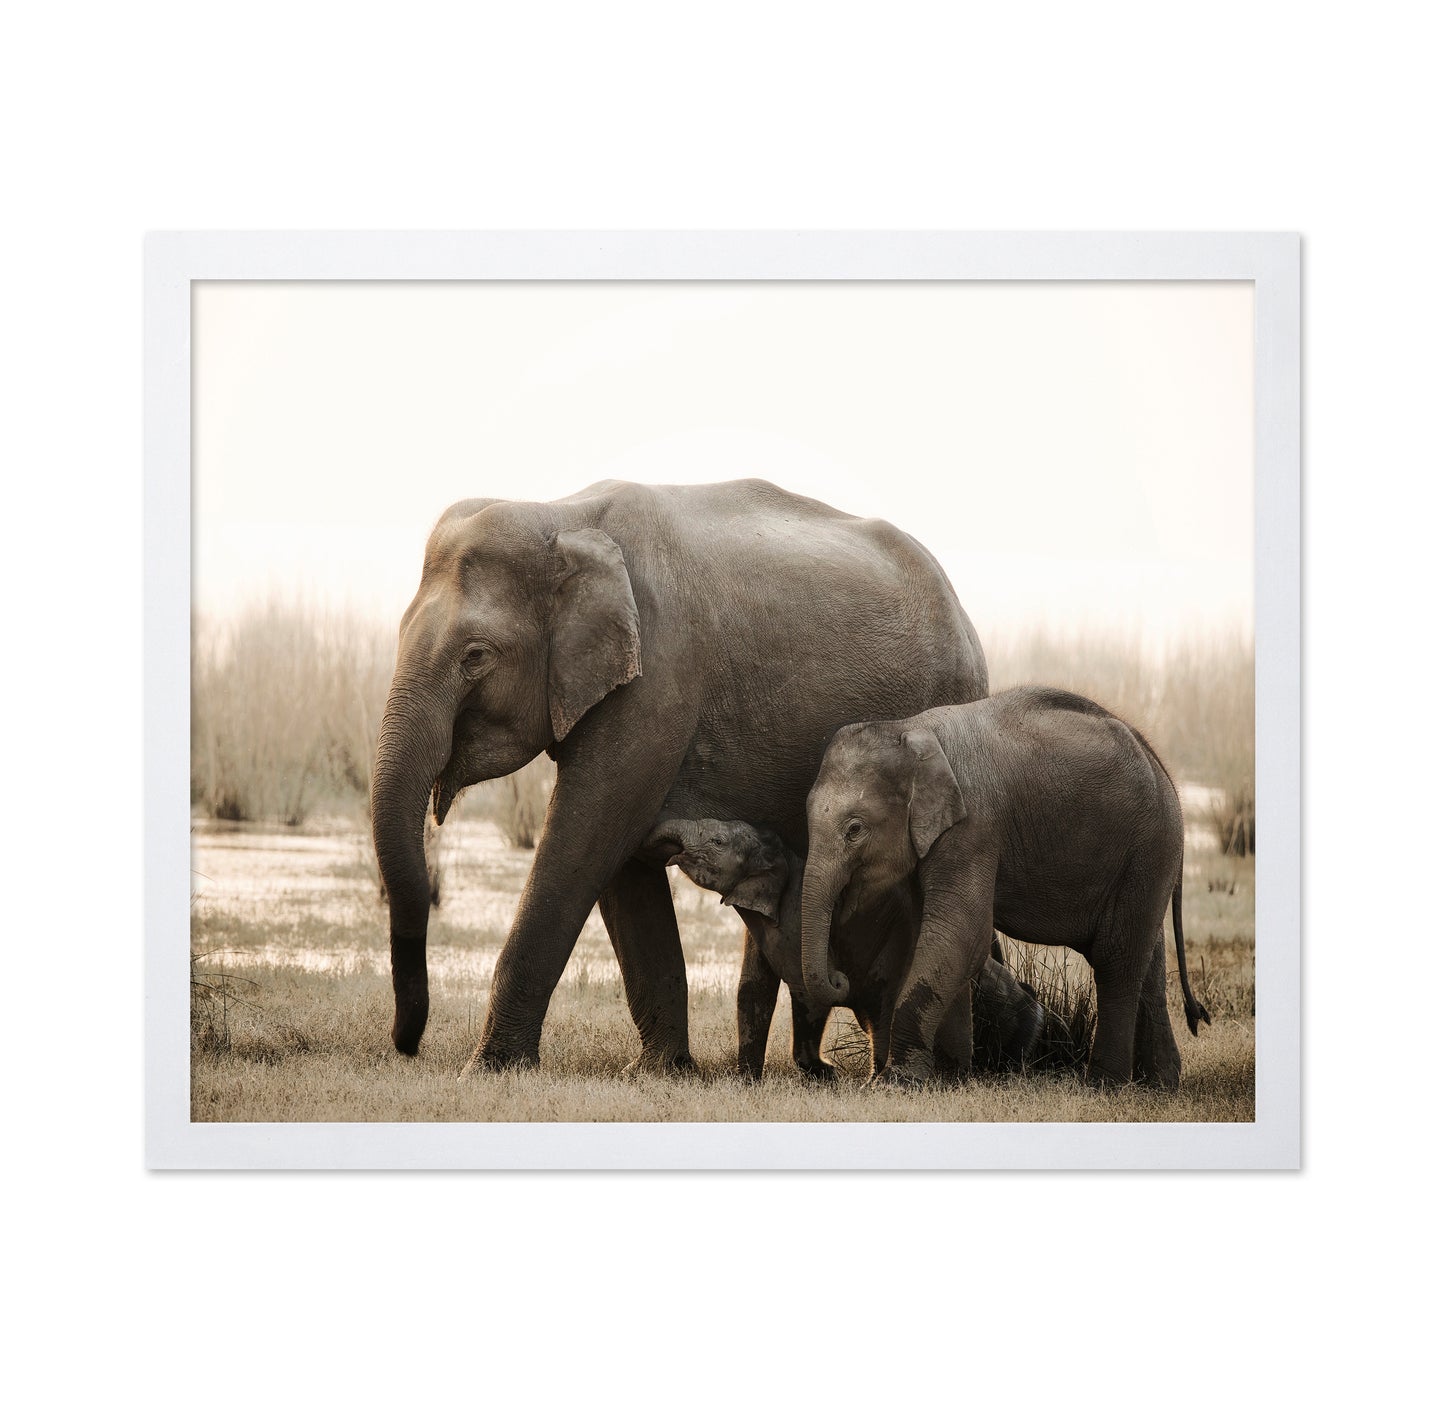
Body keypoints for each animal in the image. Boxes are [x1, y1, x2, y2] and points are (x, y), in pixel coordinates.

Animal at [370, 479, 988, 1070]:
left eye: (476, 655)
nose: (408, 1043)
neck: (563, 515)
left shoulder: (658, 680)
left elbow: (590, 835)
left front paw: (490, 1068)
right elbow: (620, 864)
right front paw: (661, 1069)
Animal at [647, 817, 1058, 1079]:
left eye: (717, 843)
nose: (662, 851)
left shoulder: (798, 918)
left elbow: (808, 990)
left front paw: (823, 1074)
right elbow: (753, 989)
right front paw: (746, 1080)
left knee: (886, 1013)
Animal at [799, 686, 1211, 1088]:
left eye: (855, 829)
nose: (839, 978)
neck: (910, 729)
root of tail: (1162, 768)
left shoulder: (974, 828)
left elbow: (960, 935)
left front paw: (896, 1083)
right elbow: (932, 937)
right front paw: (948, 1078)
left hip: (1148, 848)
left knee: (1116, 960)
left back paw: (1104, 1085)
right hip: (1146, 863)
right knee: (1147, 962)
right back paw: (1159, 1084)